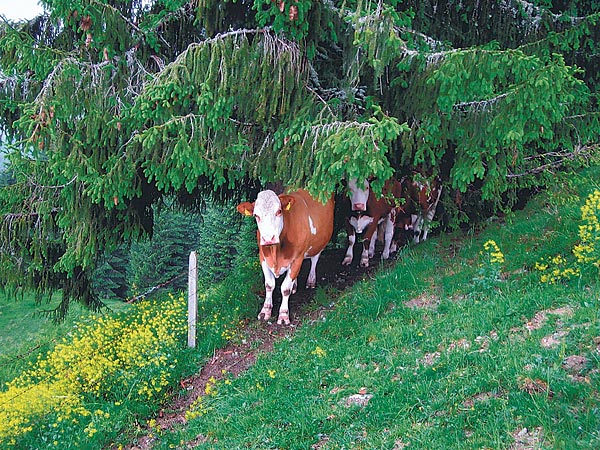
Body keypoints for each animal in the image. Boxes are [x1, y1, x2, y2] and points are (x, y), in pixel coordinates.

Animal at [237, 188, 336, 326]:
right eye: (256, 215)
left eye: (279, 211)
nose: (268, 238)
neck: (276, 252)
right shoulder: (262, 257)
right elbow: (269, 285)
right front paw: (265, 311)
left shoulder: (297, 258)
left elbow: (285, 288)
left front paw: (283, 315)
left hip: (320, 241)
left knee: (314, 259)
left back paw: (311, 280)